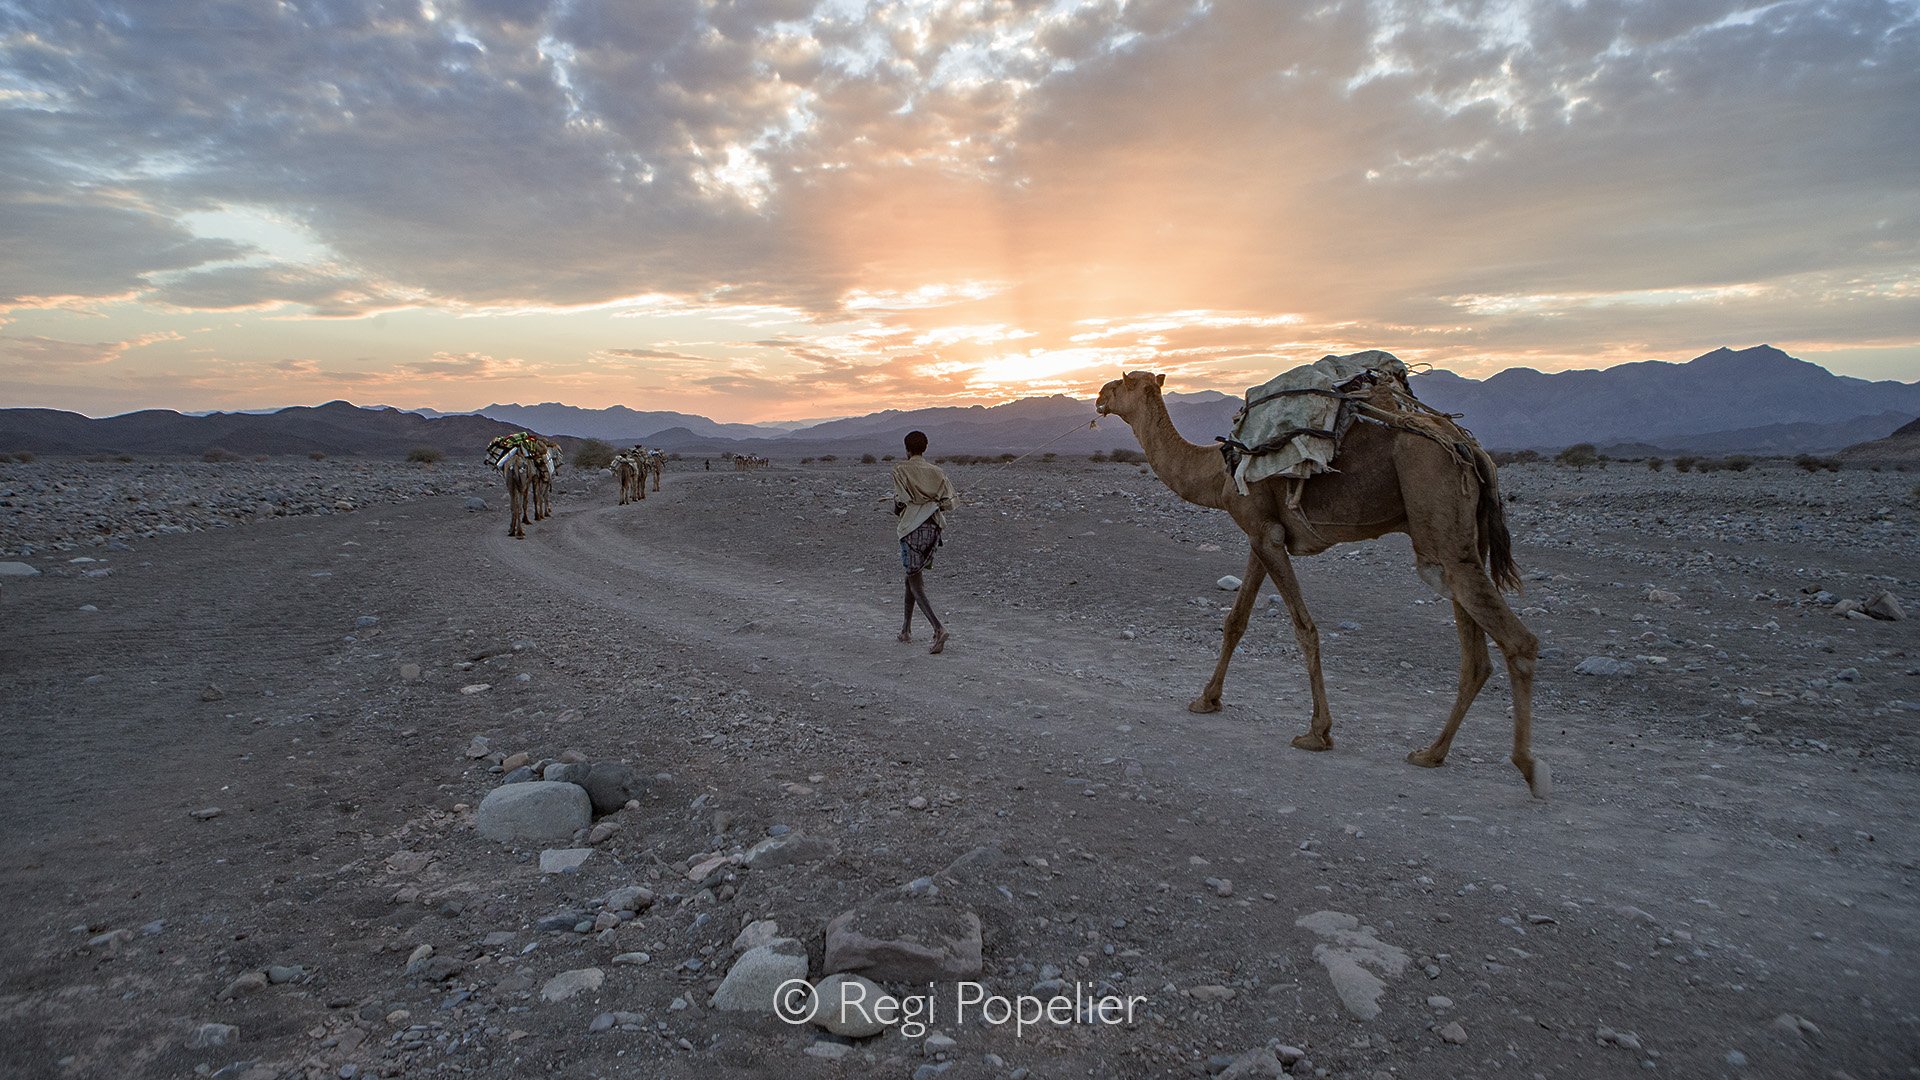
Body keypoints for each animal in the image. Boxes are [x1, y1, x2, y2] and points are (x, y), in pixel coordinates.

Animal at [1096, 369, 1546, 797]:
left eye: (1122, 383)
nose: (1098, 396)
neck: (1217, 473)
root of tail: (1468, 447)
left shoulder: (1265, 535)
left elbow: (1304, 628)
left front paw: (1317, 731)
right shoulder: (1263, 535)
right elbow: (1235, 621)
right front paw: (1207, 699)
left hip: (1439, 518)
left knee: (1517, 640)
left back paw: (1528, 768)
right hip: (1458, 542)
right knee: (1476, 654)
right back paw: (1432, 752)